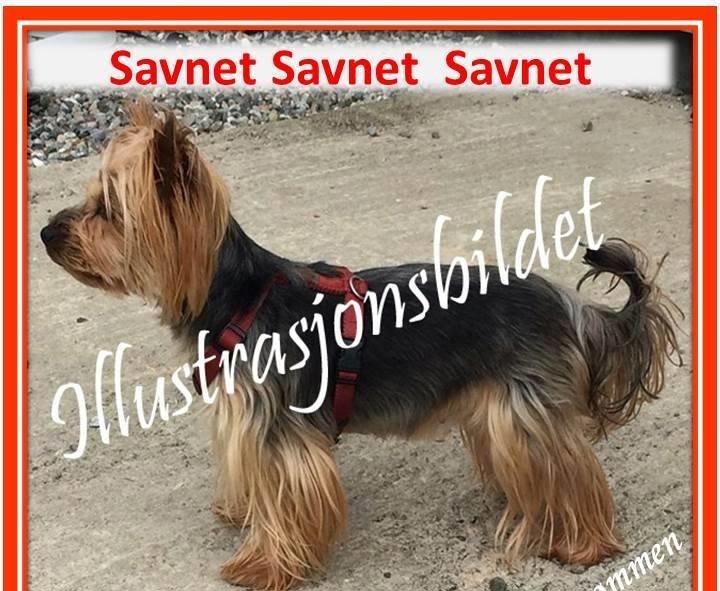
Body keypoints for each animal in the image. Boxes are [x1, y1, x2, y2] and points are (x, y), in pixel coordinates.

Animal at [41, 100, 680, 590]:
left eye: (108, 211)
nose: (46, 232)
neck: (236, 296)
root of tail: (566, 304)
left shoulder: (281, 435)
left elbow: (287, 499)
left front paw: (263, 566)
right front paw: (240, 513)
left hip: (523, 411)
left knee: (573, 471)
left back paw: (584, 544)